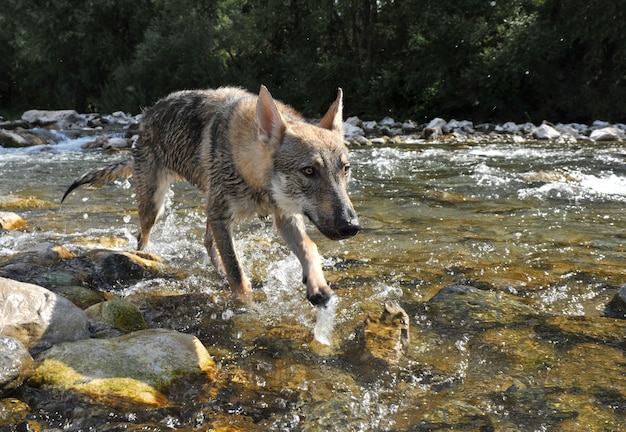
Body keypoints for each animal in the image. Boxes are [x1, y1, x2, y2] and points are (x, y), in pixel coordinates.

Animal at [62, 86, 360, 306]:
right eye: (309, 171)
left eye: (345, 169)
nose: (352, 227)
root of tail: (145, 116)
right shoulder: (223, 217)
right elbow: (238, 274)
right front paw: (245, 306)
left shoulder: (285, 216)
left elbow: (309, 248)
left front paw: (318, 285)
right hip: (155, 206)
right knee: (142, 236)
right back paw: (146, 256)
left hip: (206, 206)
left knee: (207, 241)